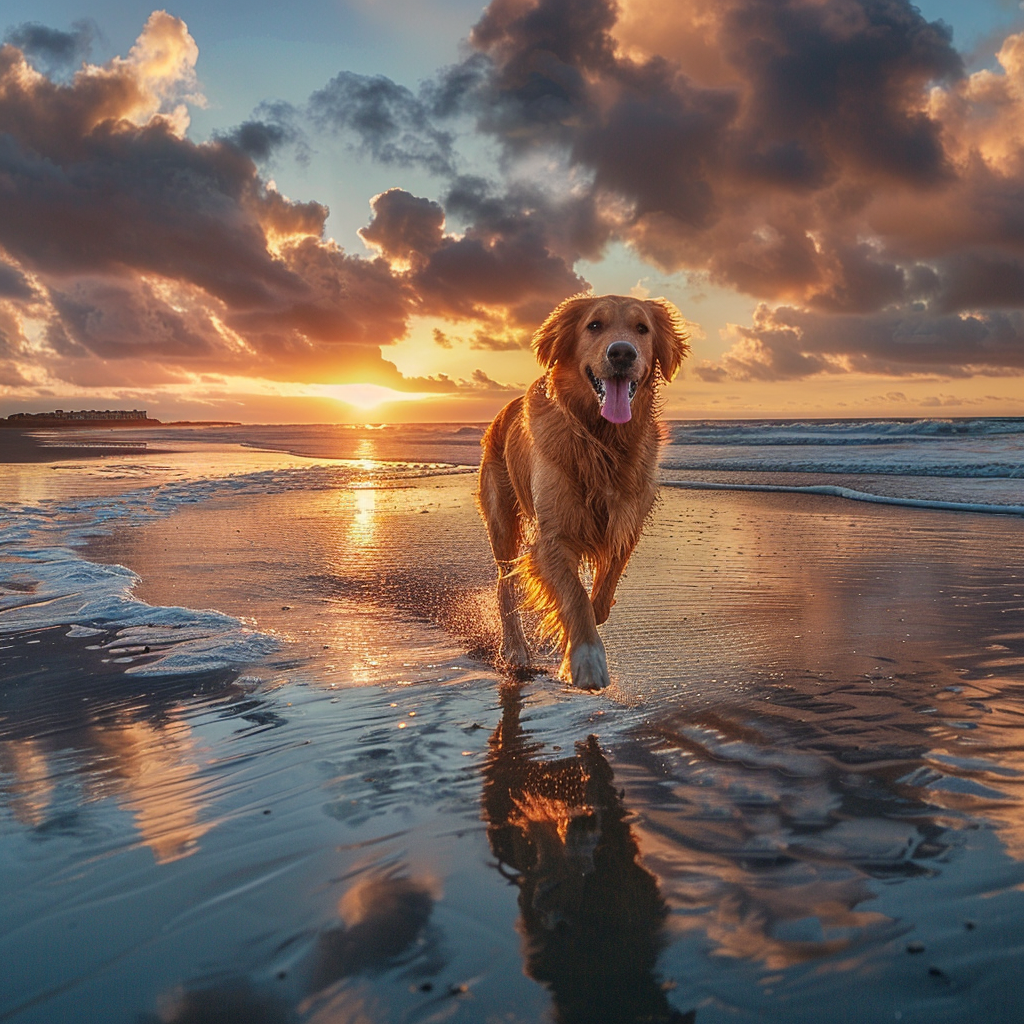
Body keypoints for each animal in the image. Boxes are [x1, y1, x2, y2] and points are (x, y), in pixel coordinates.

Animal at [477, 294, 688, 688]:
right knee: (504, 583)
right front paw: (586, 657)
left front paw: (575, 632)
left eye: (642, 328)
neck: (601, 439)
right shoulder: (553, 535)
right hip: (500, 515)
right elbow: (574, 595)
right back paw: (515, 648)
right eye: (594, 325)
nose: (622, 353)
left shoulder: (627, 521)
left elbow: (602, 593)